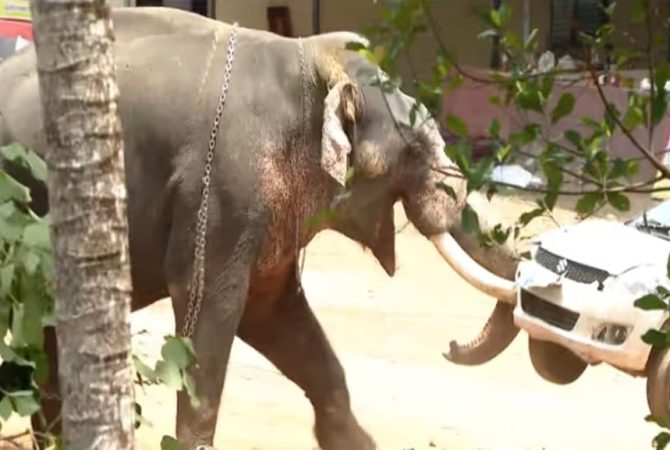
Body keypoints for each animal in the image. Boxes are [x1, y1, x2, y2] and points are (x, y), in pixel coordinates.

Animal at [0, 7, 520, 449]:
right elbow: (211, 307)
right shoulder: (222, 190)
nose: (450, 347)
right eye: (414, 149)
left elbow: (273, 310)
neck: (308, 61)